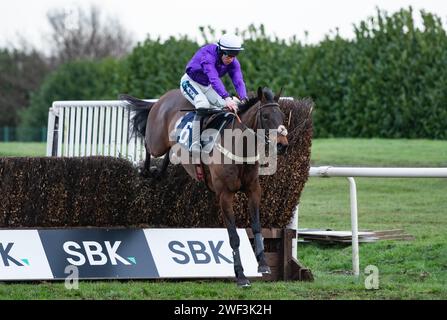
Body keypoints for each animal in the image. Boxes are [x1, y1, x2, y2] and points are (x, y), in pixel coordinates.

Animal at [121, 86, 290, 286]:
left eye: (281, 115)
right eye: (265, 116)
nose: (282, 145)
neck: (239, 147)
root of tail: (162, 98)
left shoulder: (254, 190)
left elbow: (257, 226)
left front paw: (263, 264)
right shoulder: (225, 194)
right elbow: (234, 237)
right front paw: (240, 275)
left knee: (169, 154)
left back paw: (158, 173)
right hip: (157, 142)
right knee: (148, 144)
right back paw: (145, 170)